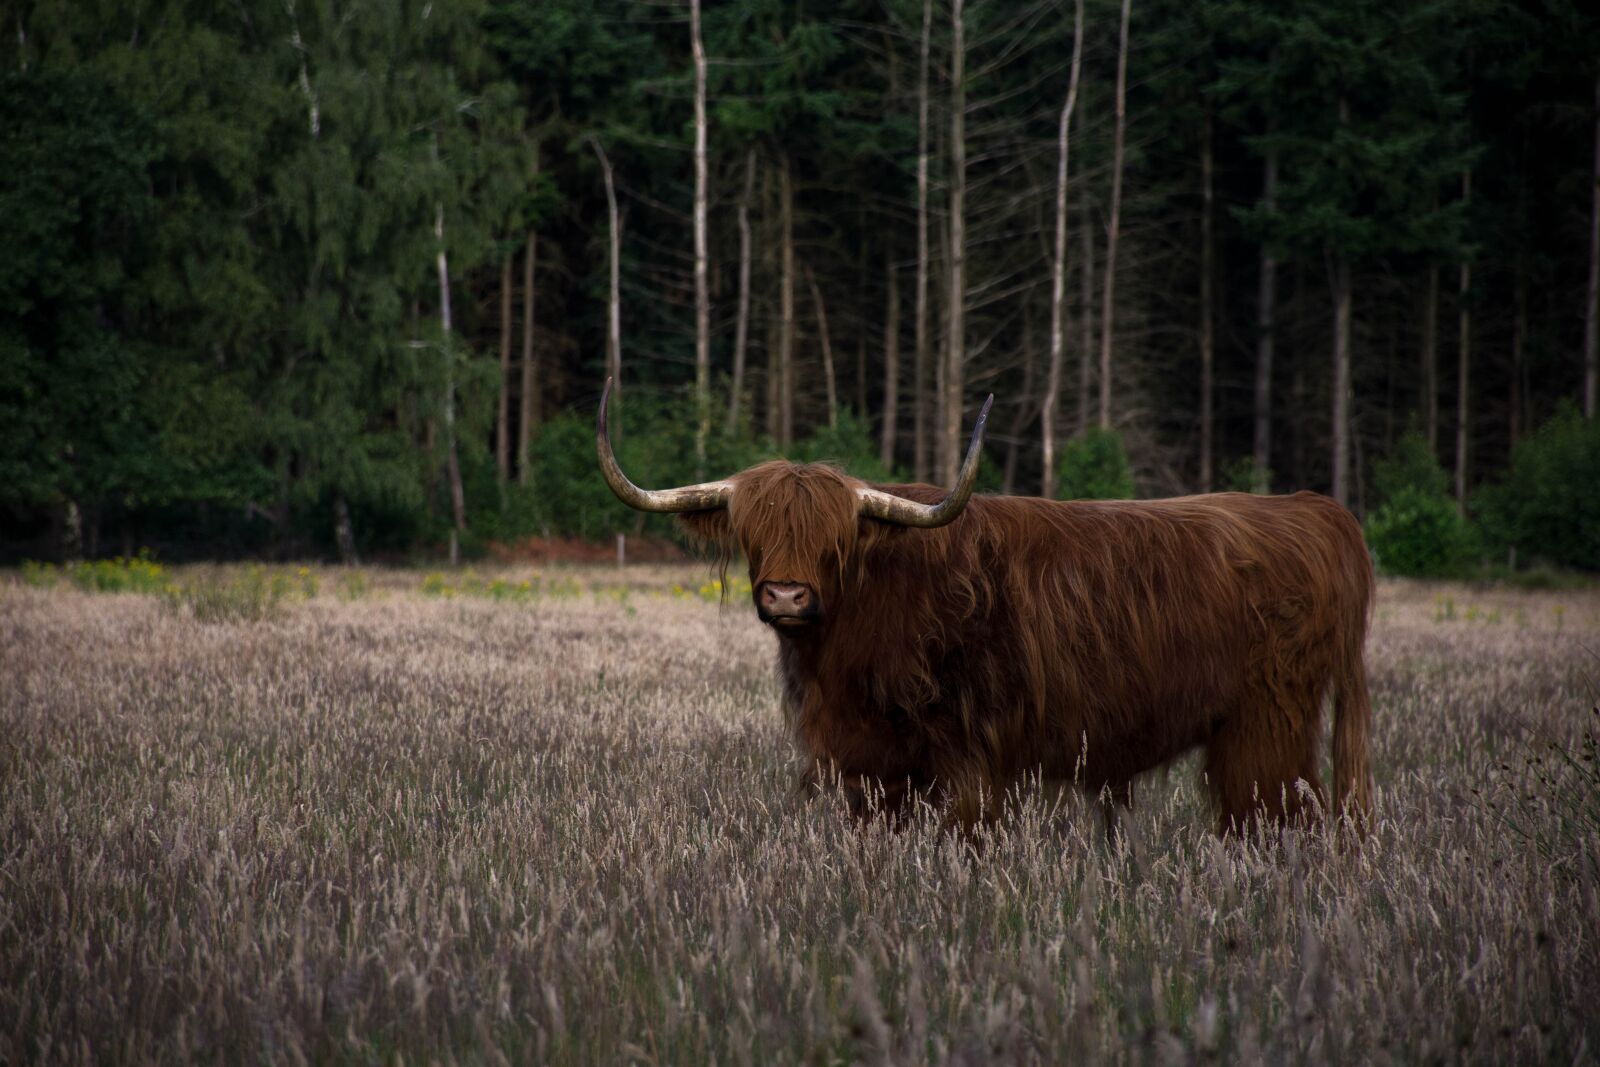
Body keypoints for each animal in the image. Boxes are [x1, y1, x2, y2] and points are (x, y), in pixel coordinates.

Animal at [597, 379, 1373, 836]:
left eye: (835, 540)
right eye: (755, 533)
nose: (787, 595)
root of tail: (1313, 511)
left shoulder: (970, 758)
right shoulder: (869, 766)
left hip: (1265, 727)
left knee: (1276, 817)